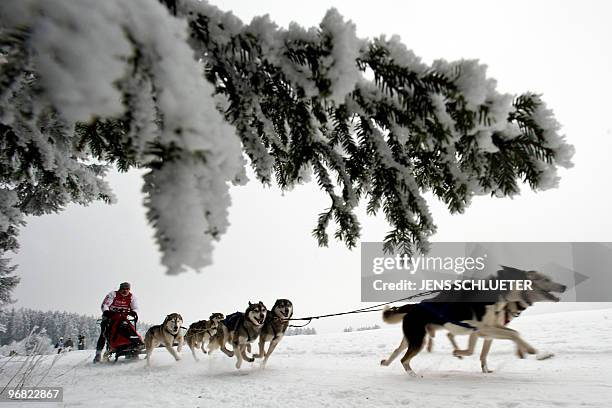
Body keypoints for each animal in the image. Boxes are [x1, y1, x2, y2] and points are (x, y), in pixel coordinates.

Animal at [382, 268, 568, 376]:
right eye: (544, 279)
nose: (564, 286)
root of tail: (413, 307)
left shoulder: (487, 332)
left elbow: (484, 353)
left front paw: (485, 370)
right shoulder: (484, 330)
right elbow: (514, 334)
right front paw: (533, 351)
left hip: (412, 339)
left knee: (397, 352)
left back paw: (386, 363)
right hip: (418, 341)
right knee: (404, 359)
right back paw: (413, 375)